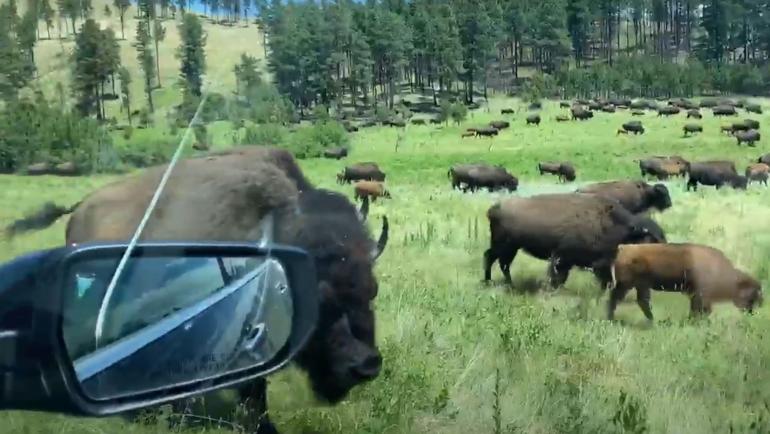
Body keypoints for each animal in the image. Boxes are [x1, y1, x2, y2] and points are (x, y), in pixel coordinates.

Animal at [483, 193, 666, 289]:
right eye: (650, 240)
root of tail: (494, 208)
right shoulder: (562, 257)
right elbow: (558, 275)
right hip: (504, 246)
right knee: (495, 260)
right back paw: (499, 283)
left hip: (510, 247)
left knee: (498, 261)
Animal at [609, 244, 762, 321]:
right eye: (753, 292)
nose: (752, 312)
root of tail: (623, 248)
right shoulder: (700, 295)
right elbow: (701, 310)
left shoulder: (695, 295)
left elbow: (697, 309)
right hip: (626, 284)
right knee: (615, 298)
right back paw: (611, 319)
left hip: (641, 285)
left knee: (642, 301)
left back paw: (653, 320)